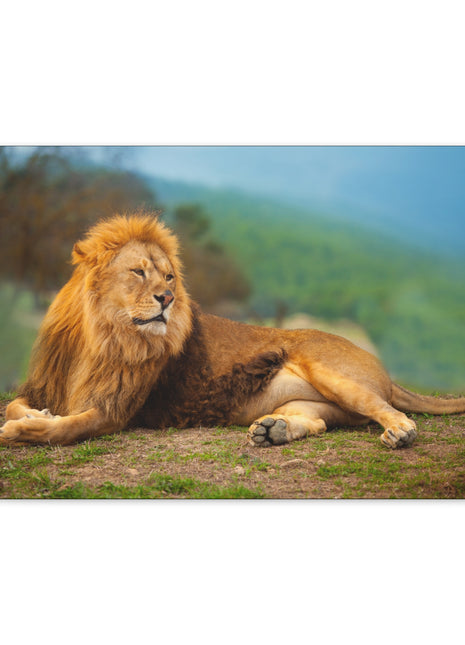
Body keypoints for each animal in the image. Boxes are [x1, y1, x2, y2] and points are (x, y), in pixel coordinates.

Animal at [2, 213, 465, 449]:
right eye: (138, 272)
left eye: (169, 278)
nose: (167, 299)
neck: (101, 334)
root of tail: (382, 367)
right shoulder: (45, 385)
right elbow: (16, 406)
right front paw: (36, 414)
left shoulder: (114, 412)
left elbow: (63, 429)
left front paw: (25, 430)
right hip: (318, 404)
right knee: (318, 422)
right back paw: (274, 430)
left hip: (332, 372)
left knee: (388, 409)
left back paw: (400, 432)